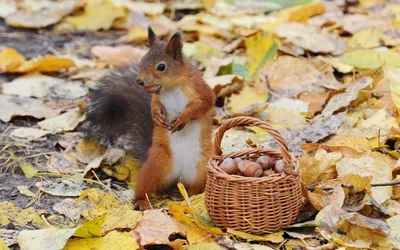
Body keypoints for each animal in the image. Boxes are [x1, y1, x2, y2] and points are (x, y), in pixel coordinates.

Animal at [83, 27, 216, 210]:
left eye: (161, 66)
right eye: (142, 59)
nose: (139, 81)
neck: (171, 88)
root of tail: (178, 178)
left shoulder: (200, 89)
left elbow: (204, 104)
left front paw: (182, 118)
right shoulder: (157, 98)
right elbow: (154, 105)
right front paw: (156, 117)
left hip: (202, 168)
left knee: (195, 188)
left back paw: (189, 197)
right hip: (156, 162)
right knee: (146, 186)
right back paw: (143, 201)